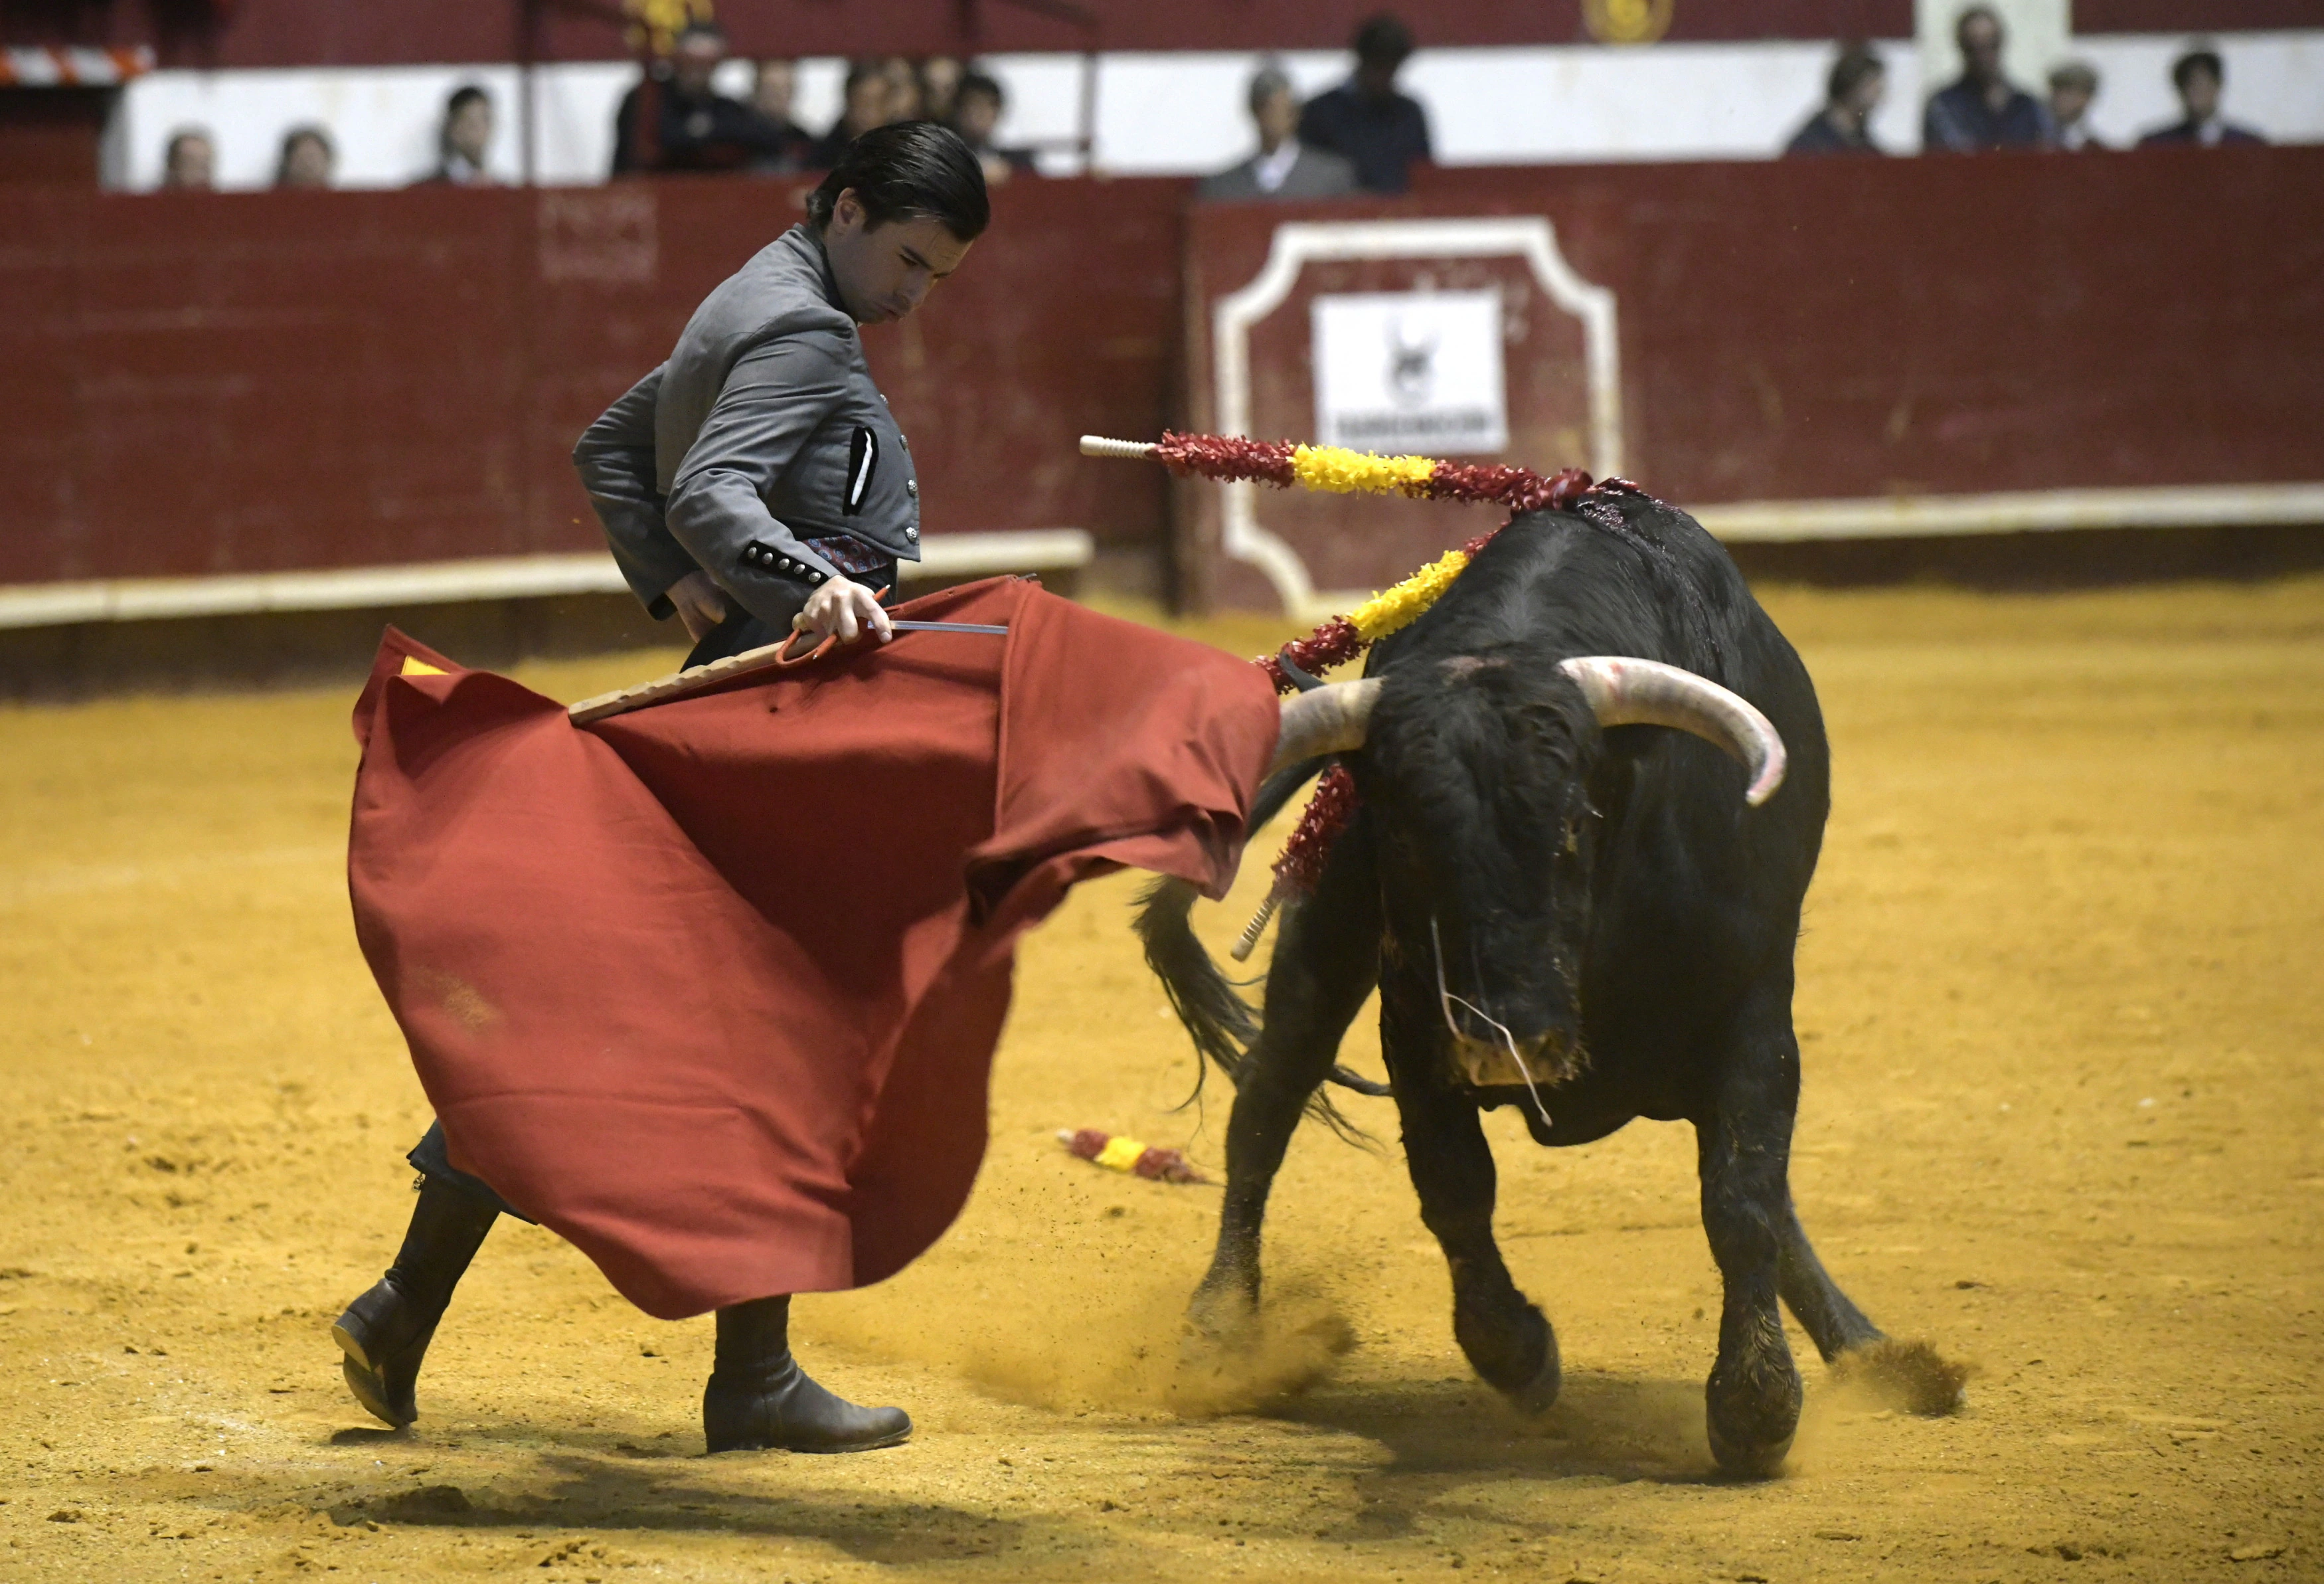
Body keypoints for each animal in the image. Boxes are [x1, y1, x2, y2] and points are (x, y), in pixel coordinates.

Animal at [1134, 488, 1934, 1479]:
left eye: (1574, 825)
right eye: (1405, 838)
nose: (1511, 1040)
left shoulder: (1753, 1007)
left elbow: (1742, 1195)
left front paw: (1755, 1409)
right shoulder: (1418, 1030)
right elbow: (1454, 1189)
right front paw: (1519, 1356)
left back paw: (1874, 1353)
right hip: (1324, 944)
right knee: (1264, 1114)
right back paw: (1216, 1331)